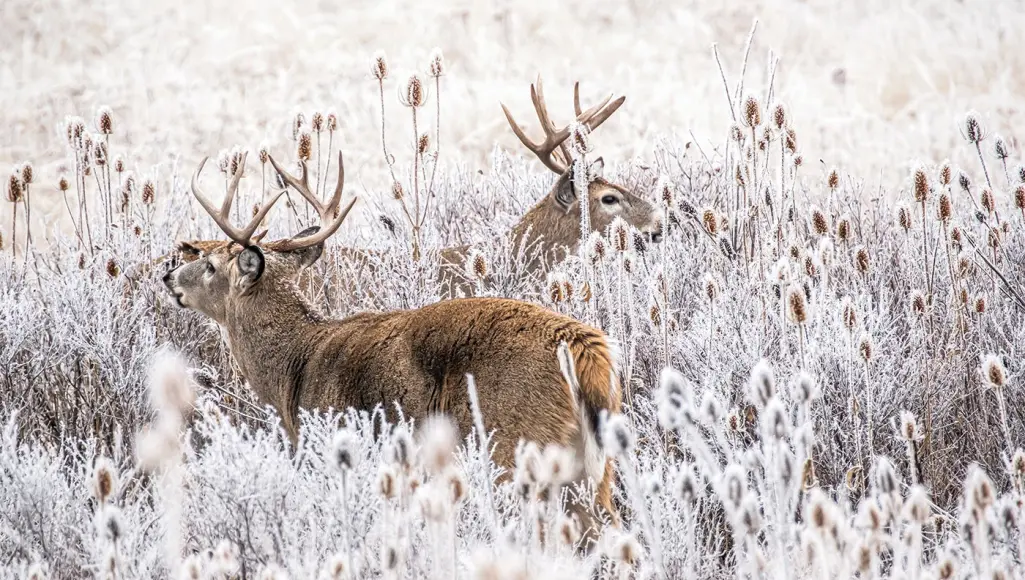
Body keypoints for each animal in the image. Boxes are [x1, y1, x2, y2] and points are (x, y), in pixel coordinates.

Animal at [162, 149, 623, 545]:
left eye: (210, 265)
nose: (168, 275)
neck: (295, 365)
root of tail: (585, 349)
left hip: (514, 444)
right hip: (593, 466)